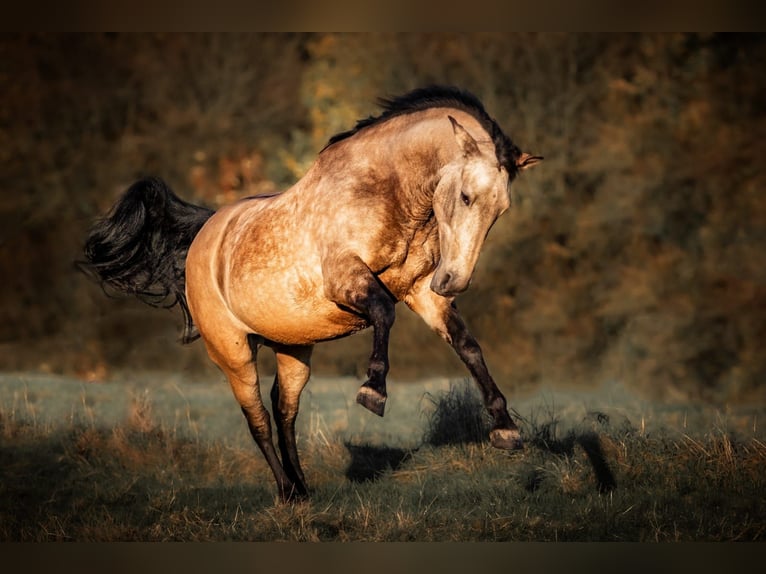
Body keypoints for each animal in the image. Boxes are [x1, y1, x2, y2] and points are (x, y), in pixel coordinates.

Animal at [81, 86, 544, 504]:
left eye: (500, 210)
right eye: (466, 196)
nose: (453, 281)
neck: (387, 193)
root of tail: (204, 235)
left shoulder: (420, 292)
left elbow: (467, 345)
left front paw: (506, 428)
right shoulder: (346, 279)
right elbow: (384, 313)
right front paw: (373, 391)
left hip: (293, 349)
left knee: (284, 411)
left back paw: (303, 487)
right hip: (232, 352)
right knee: (258, 418)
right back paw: (287, 492)